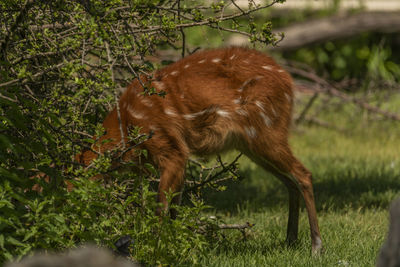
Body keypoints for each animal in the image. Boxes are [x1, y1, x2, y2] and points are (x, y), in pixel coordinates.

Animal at [76, 47, 324, 254]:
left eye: (74, 178)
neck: (128, 125)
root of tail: (289, 81)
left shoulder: (172, 150)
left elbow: (162, 205)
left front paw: (154, 248)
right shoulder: (180, 157)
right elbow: (174, 205)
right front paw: (176, 244)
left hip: (267, 132)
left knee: (303, 174)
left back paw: (315, 247)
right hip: (252, 145)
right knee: (290, 182)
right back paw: (290, 240)